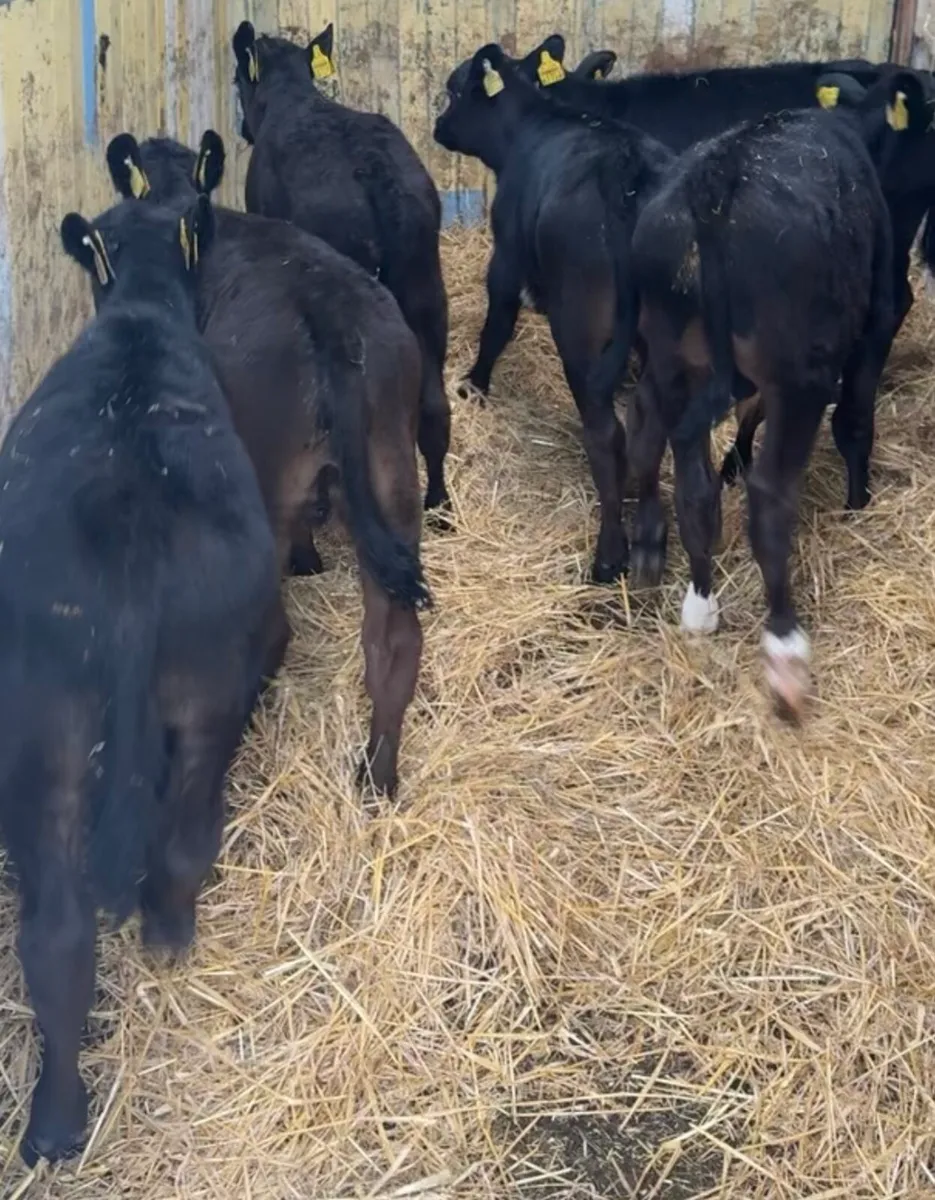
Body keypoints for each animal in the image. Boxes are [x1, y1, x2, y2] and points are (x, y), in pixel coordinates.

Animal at [0, 196, 284, 1165]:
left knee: (58, 929)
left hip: (48, 736)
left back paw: (55, 1118)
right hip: (199, 696)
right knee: (174, 847)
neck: (142, 314)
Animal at [105, 130, 431, 799]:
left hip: (265, 489)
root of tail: (331, 319)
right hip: (394, 484)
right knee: (395, 643)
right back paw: (376, 776)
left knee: (270, 631)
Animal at [231, 21, 451, 519]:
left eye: (237, 81)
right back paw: (440, 504)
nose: (241, 128)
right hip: (427, 293)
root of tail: (376, 172)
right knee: (434, 408)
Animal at [434, 43, 672, 584]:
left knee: (607, 435)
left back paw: (609, 556)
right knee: (654, 428)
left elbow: (496, 326)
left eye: (454, 90)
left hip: (582, 336)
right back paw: (650, 542)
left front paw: (474, 385)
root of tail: (628, 175)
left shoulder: (505, 260)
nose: (438, 126)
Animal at [628, 69, 930, 717]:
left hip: (672, 355)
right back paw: (786, 647)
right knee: (771, 495)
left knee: (689, 478)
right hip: (801, 374)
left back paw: (699, 605)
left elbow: (743, 415)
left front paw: (734, 459)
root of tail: (713, 182)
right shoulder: (875, 321)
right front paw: (859, 502)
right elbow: (855, 421)